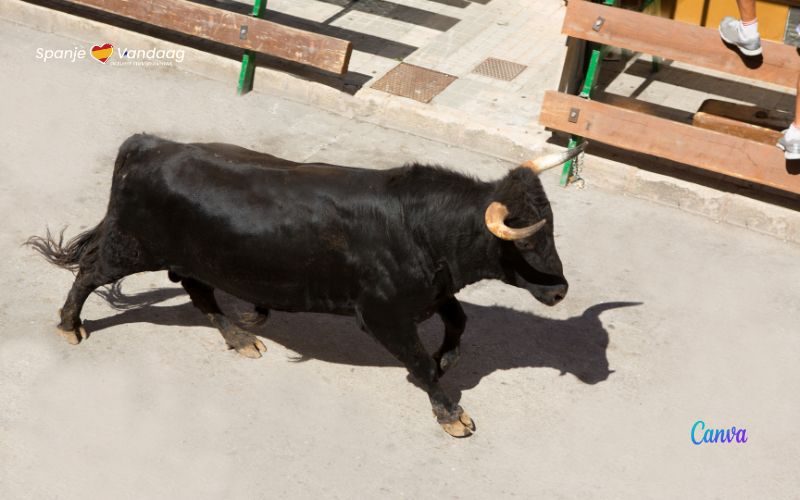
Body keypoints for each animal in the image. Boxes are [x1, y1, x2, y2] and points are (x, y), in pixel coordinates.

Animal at [28, 135, 584, 436]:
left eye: (553, 229)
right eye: (531, 241)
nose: (560, 291)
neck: (424, 226)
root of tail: (152, 145)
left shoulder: (430, 293)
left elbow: (459, 320)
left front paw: (448, 359)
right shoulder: (382, 314)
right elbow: (422, 363)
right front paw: (450, 412)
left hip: (196, 260)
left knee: (200, 292)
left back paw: (241, 336)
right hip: (131, 248)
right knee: (89, 272)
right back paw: (70, 325)